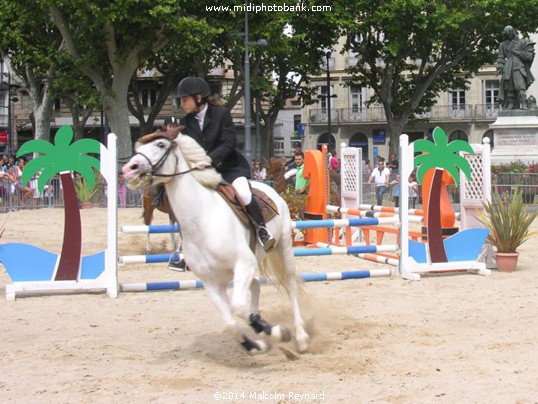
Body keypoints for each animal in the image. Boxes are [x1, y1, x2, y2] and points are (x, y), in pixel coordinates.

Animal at [120, 129, 306, 354]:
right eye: (138, 148)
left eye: (161, 145)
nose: (129, 169)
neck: (202, 220)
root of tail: (270, 189)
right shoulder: (211, 282)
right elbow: (231, 322)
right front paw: (256, 343)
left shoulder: (243, 264)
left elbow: (238, 308)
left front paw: (278, 332)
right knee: (255, 285)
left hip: (282, 246)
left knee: (290, 285)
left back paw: (301, 336)